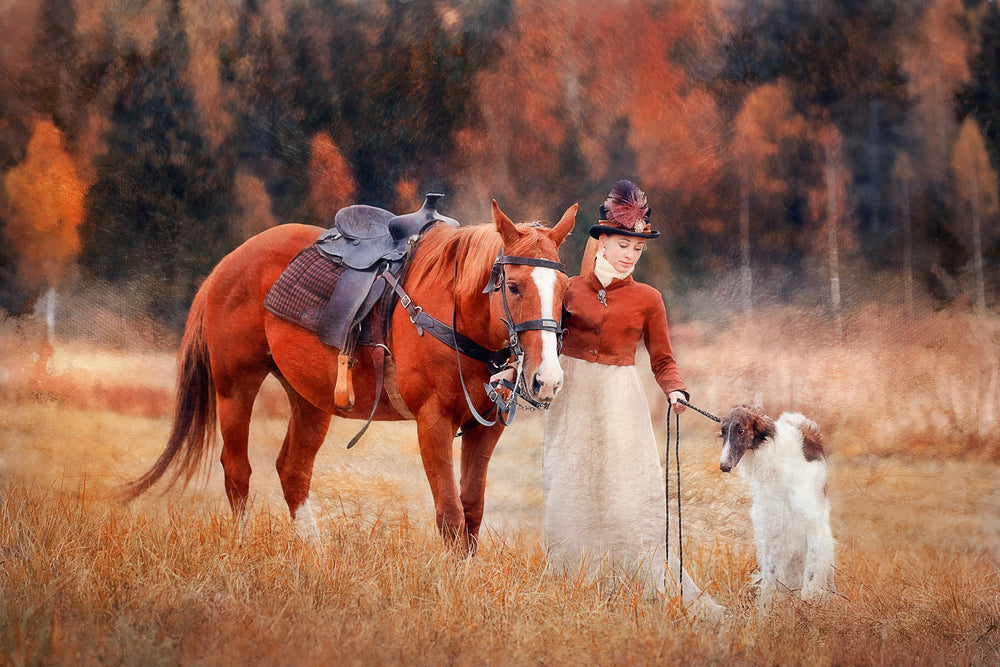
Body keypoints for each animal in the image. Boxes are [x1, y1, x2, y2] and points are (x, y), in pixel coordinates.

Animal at [123, 201, 580, 556]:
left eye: (564, 288)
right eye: (514, 286)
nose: (547, 379)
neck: (454, 312)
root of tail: (227, 264)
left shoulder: (485, 430)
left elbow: (472, 511)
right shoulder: (433, 421)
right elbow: (450, 514)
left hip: (309, 399)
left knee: (292, 470)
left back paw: (313, 551)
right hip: (235, 386)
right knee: (237, 470)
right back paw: (242, 545)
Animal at [720, 404, 836, 604]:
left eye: (740, 430)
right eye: (723, 431)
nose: (724, 466)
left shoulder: (813, 526)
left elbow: (809, 583)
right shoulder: (772, 528)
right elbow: (767, 588)